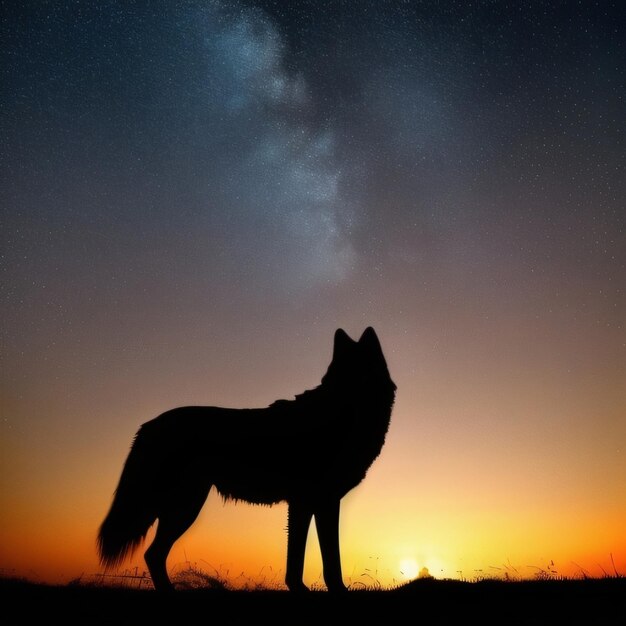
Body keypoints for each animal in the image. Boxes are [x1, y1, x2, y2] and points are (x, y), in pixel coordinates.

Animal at [96, 326, 394, 588]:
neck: (342, 412)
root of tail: (148, 425)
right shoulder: (320, 502)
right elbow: (330, 561)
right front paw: (335, 590)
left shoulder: (307, 503)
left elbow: (298, 560)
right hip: (184, 507)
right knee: (154, 553)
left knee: (153, 554)